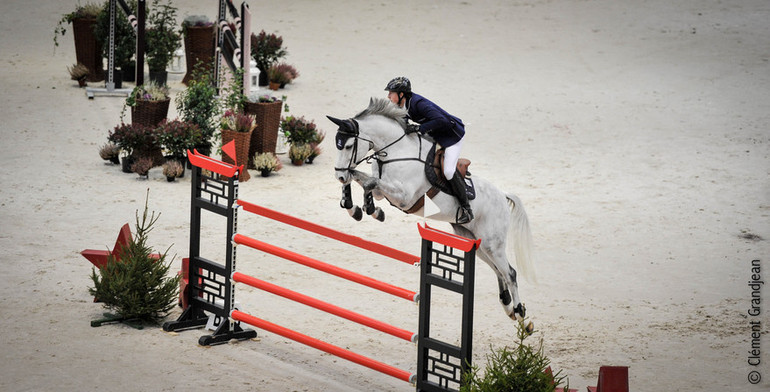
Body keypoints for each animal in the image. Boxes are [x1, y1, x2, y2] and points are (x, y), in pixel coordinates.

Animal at [326, 99, 536, 330]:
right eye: (337, 144)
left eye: (347, 146)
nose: (338, 175)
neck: (395, 152)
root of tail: (503, 195)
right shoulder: (384, 192)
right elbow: (362, 179)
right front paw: (359, 208)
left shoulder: (404, 197)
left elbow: (368, 182)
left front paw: (367, 209)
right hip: (473, 240)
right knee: (499, 271)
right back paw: (508, 307)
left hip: (492, 243)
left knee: (510, 273)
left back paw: (522, 317)